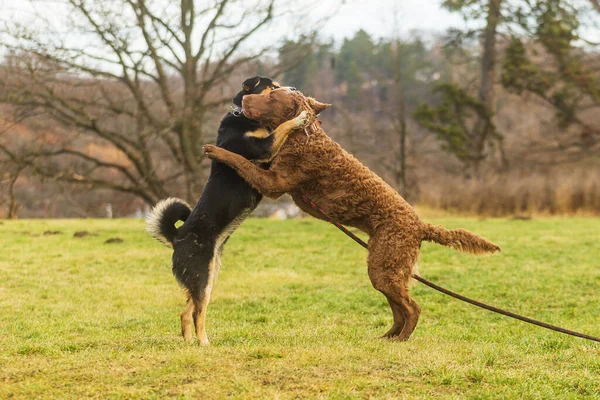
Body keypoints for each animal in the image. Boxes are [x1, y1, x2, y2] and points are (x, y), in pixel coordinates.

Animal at [144, 77, 304, 344]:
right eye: (271, 87)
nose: (293, 89)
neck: (244, 117)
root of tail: (177, 238)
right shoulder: (263, 148)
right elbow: (281, 129)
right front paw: (300, 118)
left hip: (207, 280)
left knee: (187, 311)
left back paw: (190, 343)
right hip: (202, 276)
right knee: (197, 313)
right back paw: (204, 343)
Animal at [204, 87, 500, 340]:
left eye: (272, 96)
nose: (243, 99)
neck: (306, 136)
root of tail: (420, 226)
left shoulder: (274, 183)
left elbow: (242, 161)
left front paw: (217, 151)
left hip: (384, 266)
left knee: (412, 308)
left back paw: (401, 340)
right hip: (385, 268)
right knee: (398, 309)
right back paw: (387, 338)